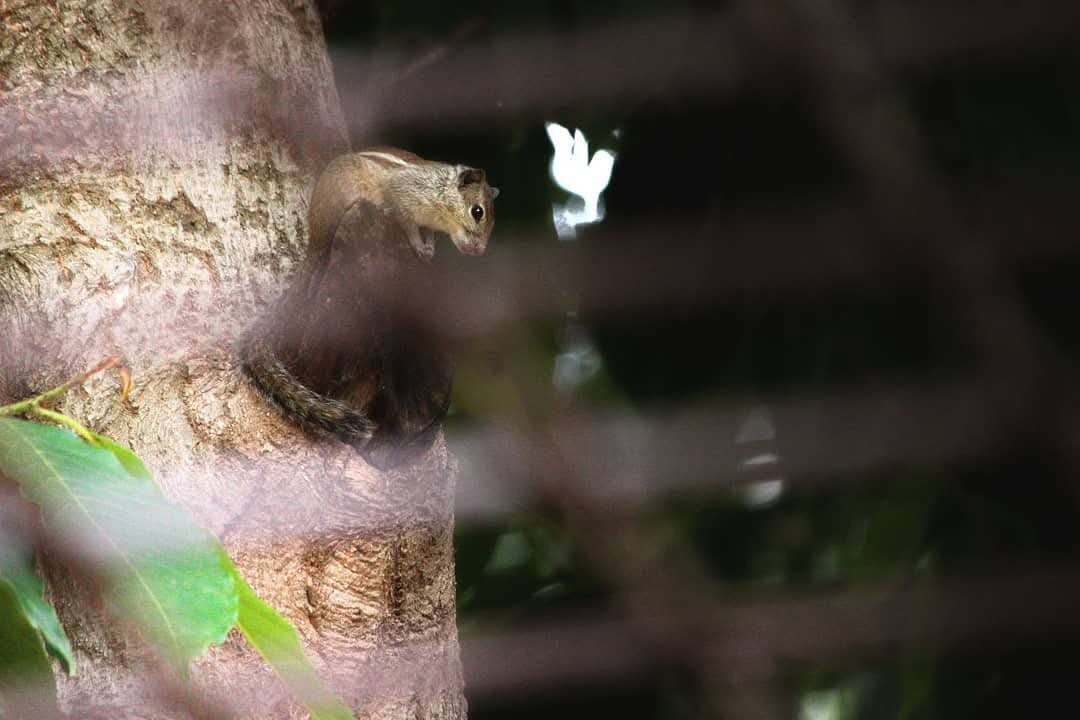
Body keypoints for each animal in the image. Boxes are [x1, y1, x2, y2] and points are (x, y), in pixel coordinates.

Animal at [241, 147, 498, 467]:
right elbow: (406, 222)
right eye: (478, 212)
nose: (478, 250)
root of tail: (315, 236)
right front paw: (419, 247)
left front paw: (429, 250)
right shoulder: (405, 198)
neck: (440, 198)